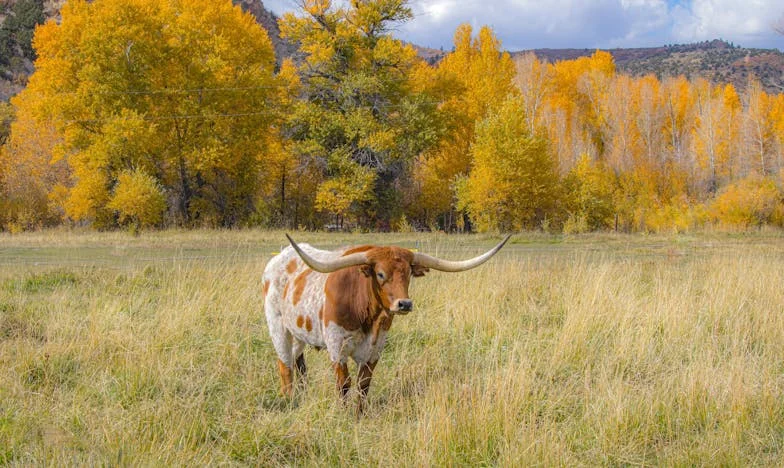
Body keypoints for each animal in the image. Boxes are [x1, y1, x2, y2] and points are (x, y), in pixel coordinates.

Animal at [260, 234, 512, 414]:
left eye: (409, 273)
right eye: (380, 274)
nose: (404, 304)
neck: (366, 315)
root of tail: (279, 258)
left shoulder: (376, 348)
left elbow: (363, 384)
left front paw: (359, 415)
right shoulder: (336, 345)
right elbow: (344, 383)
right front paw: (343, 414)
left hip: (298, 333)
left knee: (297, 362)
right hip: (278, 327)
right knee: (285, 364)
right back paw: (289, 399)